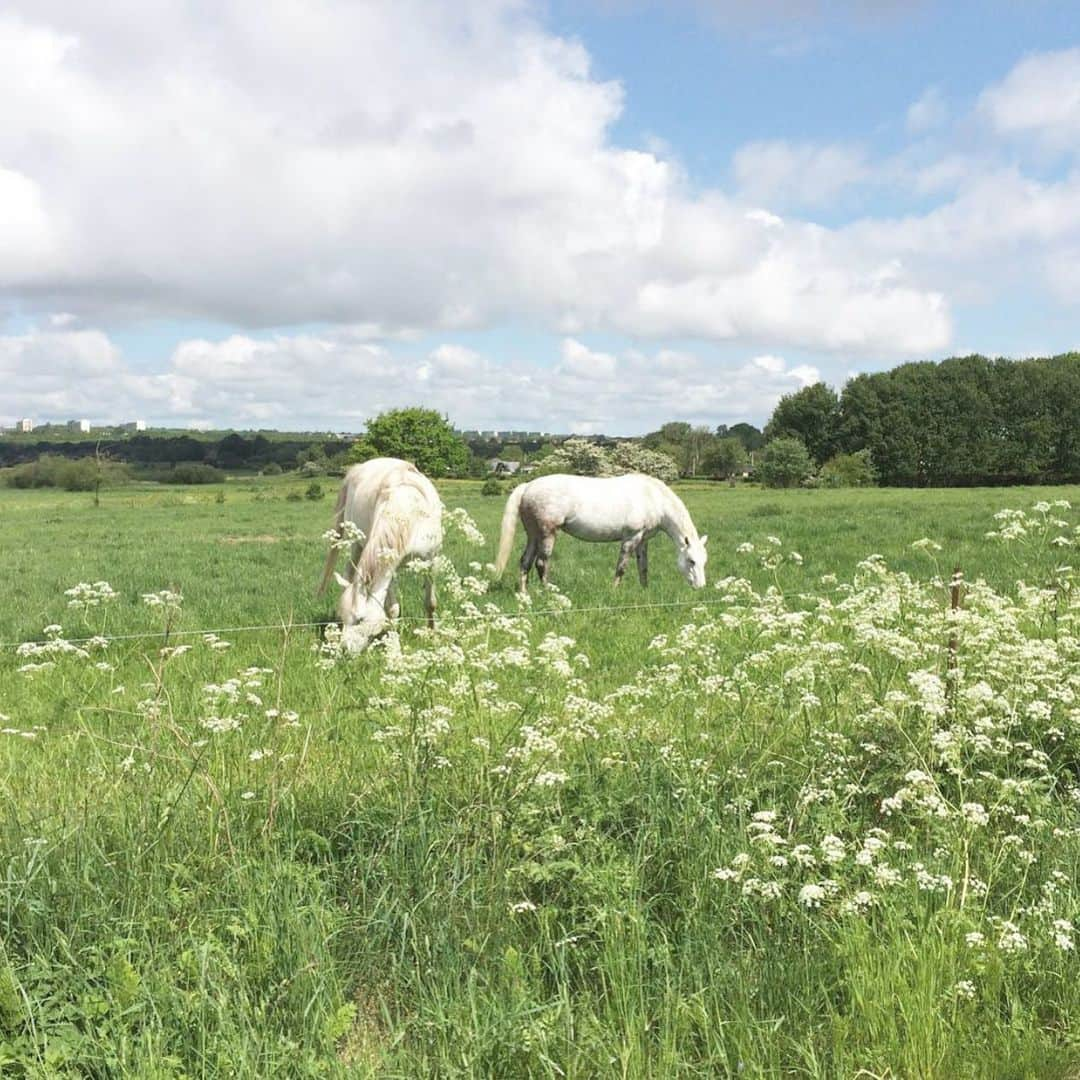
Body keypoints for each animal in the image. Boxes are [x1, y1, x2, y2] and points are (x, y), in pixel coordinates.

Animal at [315, 455, 442, 648]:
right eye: (345, 617)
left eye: (360, 619)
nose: (344, 649)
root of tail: (358, 468)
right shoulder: (387, 564)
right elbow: (392, 609)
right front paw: (394, 644)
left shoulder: (430, 560)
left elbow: (430, 603)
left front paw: (432, 636)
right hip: (356, 544)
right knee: (349, 573)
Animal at [492, 473, 708, 591]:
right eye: (691, 561)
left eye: (704, 561)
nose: (701, 587)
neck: (652, 496)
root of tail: (527, 486)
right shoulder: (631, 538)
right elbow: (621, 567)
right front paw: (614, 591)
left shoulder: (642, 540)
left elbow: (643, 567)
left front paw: (644, 590)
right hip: (547, 534)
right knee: (541, 563)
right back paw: (549, 592)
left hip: (533, 535)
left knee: (525, 562)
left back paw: (524, 595)